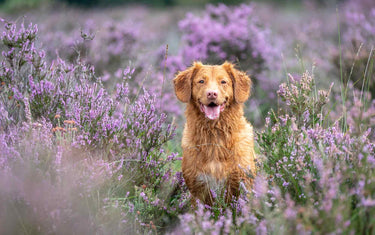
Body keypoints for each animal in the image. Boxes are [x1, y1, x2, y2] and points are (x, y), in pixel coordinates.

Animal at [174, 61, 258, 206]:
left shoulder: (243, 184)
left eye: (223, 82)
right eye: (201, 81)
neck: (214, 135)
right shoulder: (198, 189)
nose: (212, 94)